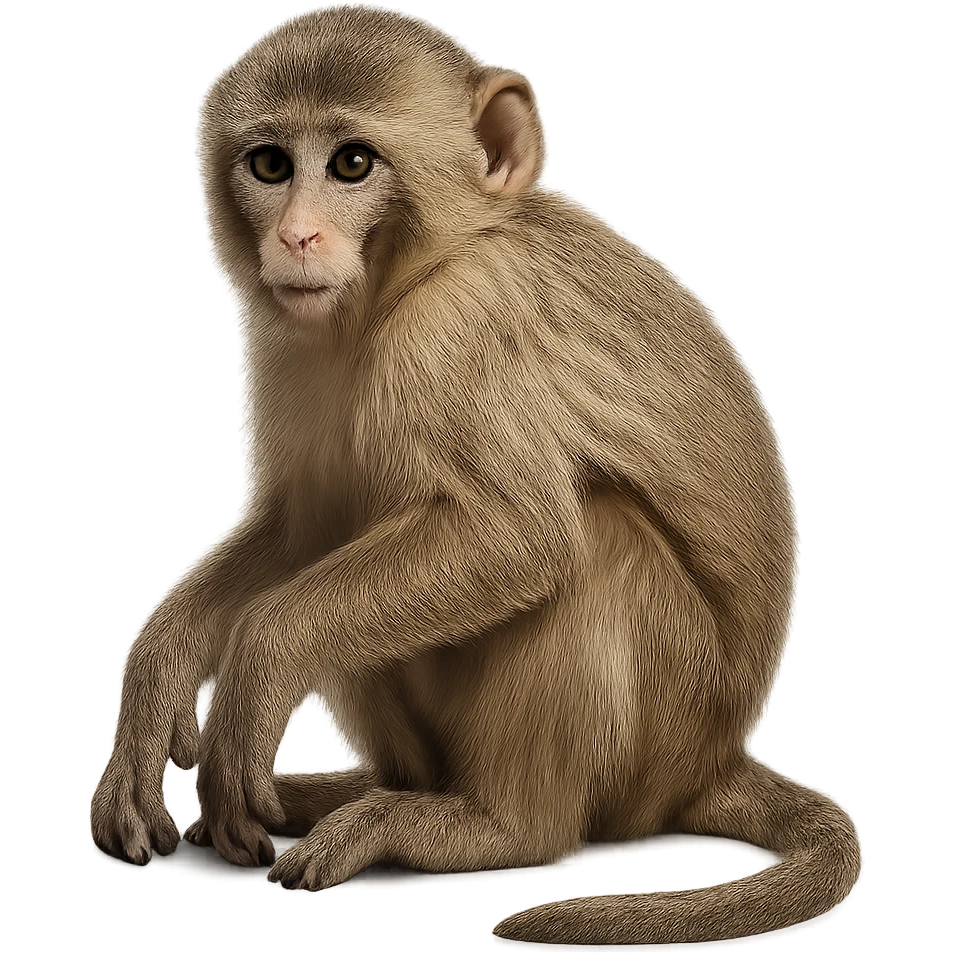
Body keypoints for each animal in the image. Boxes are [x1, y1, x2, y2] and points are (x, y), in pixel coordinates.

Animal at [87, 3, 862, 945]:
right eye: (270, 165)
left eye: (351, 163)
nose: (296, 236)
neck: (399, 285)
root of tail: (706, 761)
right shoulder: (290, 347)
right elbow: (308, 528)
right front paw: (157, 671)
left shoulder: (455, 328)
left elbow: (517, 537)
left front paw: (258, 661)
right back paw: (376, 791)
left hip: (658, 734)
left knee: (595, 538)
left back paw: (485, 824)